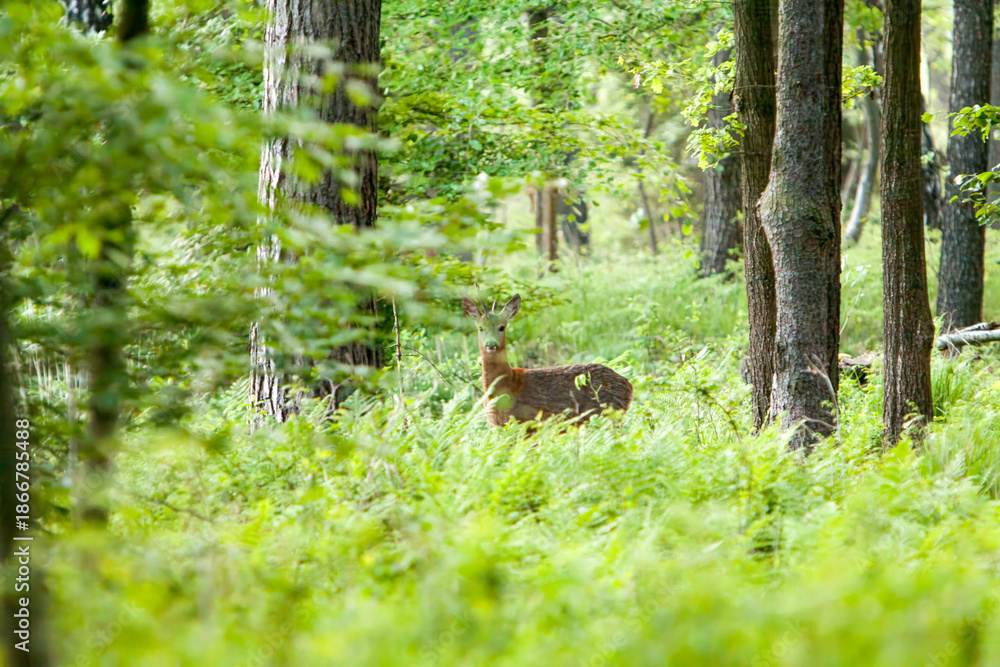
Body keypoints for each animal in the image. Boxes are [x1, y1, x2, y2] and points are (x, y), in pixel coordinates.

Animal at [462, 294, 633, 426]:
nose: (491, 344)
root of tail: (628, 386)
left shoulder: (526, 422)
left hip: (607, 412)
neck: (508, 385)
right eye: (480, 328)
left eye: (501, 327)